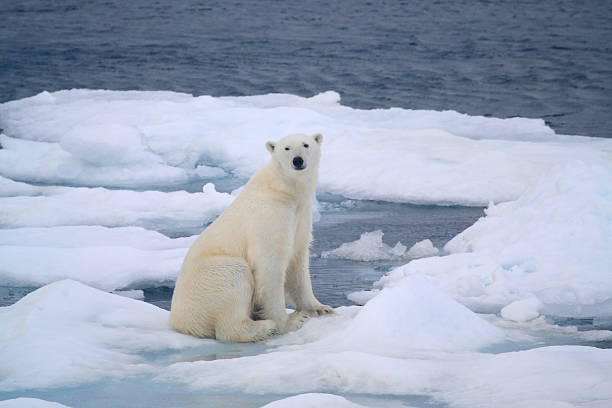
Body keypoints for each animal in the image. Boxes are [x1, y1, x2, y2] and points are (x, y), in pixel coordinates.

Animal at [170, 133, 334, 342]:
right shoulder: (269, 217)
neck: (283, 190)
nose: (298, 160)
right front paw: (289, 321)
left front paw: (320, 308)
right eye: (286, 148)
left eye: (306, 145)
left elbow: (298, 262)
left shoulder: (301, 216)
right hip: (208, 281)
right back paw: (263, 327)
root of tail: (181, 323)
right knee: (235, 276)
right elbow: (270, 267)